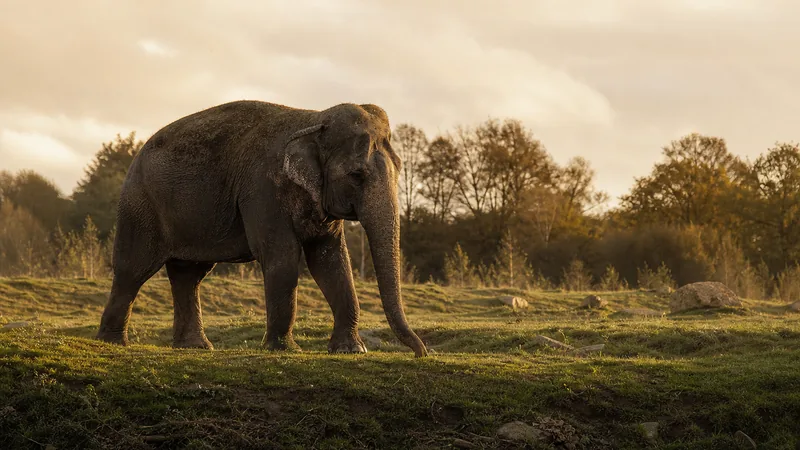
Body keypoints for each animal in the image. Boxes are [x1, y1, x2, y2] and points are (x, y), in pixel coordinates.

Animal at [95, 100, 428, 357]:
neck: (312, 119)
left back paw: (195, 347)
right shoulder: (262, 190)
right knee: (133, 269)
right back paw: (112, 343)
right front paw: (285, 349)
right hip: (140, 204)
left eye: (400, 167)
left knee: (189, 275)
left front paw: (350, 350)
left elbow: (331, 260)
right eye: (356, 175)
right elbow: (282, 256)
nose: (421, 353)